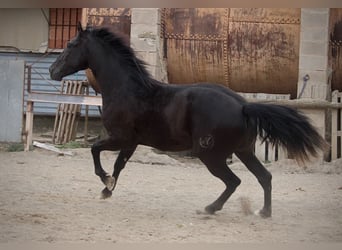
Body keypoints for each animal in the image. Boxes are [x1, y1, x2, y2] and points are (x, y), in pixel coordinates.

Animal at [49, 23, 328, 219]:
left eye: (71, 44)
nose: (52, 71)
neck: (126, 89)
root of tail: (243, 106)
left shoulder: (120, 137)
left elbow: (95, 150)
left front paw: (105, 181)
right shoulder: (131, 142)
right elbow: (119, 166)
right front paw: (108, 189)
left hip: (210, 154)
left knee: (234, 181)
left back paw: (209, 208)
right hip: (244, 151)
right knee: (265, 177)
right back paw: (264, 212)